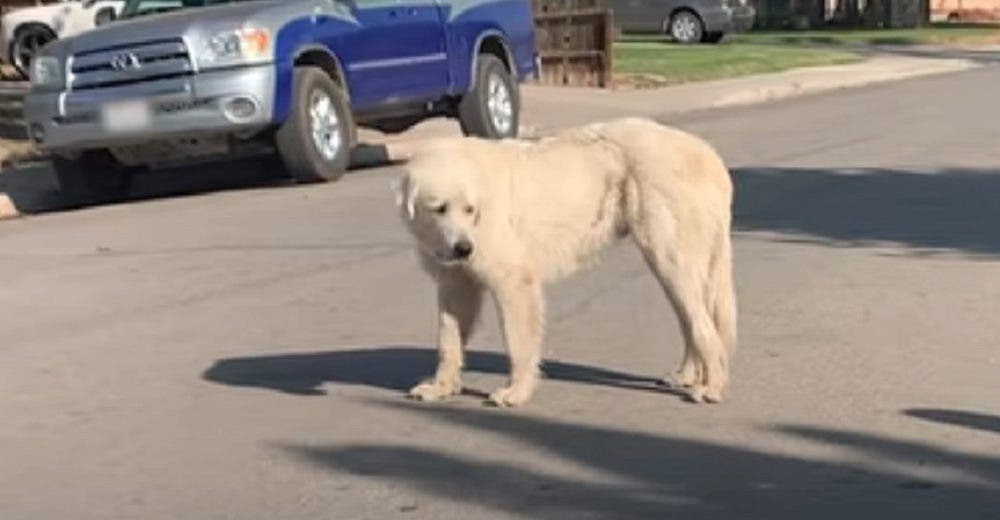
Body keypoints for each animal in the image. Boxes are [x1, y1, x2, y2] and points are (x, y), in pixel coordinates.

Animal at [396, 118, 736, 406]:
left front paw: (515, 392)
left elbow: (518, 341)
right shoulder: (455, 282)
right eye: (439, 208)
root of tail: (710, 155)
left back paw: (713, 386)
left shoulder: (513, 279)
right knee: (691, 319)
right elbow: (448, 338)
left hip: (669, 253)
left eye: (469, 209)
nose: (464, 248)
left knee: (703, 325)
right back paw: (686, 375)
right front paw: (440, 387)